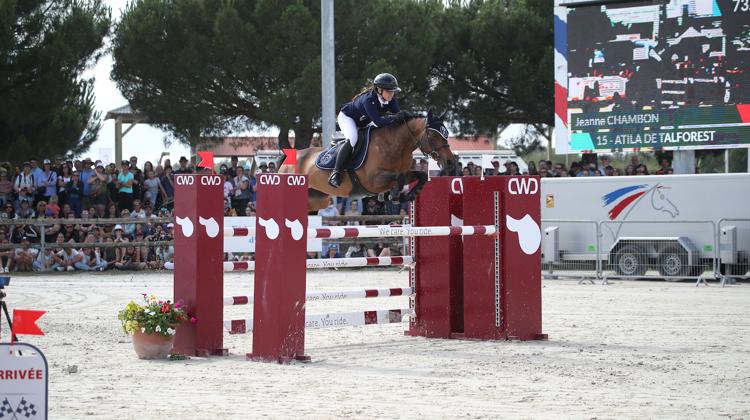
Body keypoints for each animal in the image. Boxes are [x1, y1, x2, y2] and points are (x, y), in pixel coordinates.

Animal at [282, 110, 458, 212]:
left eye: (446, 133)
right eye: (433, 135)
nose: (450, 162)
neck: (396, 145)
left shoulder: (405, 172)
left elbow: (420, 175)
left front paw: (408, 196)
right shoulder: (372, 180)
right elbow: (398, 179)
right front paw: (393, 195)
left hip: (318, 199)